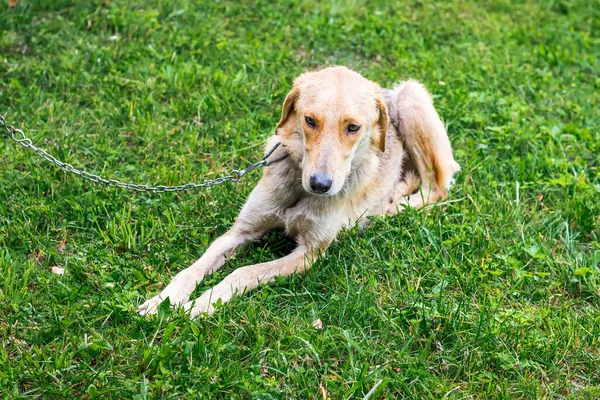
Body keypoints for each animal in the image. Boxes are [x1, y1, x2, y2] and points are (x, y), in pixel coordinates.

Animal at [139, 65, 460, 316]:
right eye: (310, 120)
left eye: (353, 127)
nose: (320, 185)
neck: (299, 189)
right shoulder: (241, 230)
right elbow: (194, 267)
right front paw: (165, 300)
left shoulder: (310, 252)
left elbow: (242, 272)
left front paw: (201, 304)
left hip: (410, 96)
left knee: (436, 187)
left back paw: (386, 207)